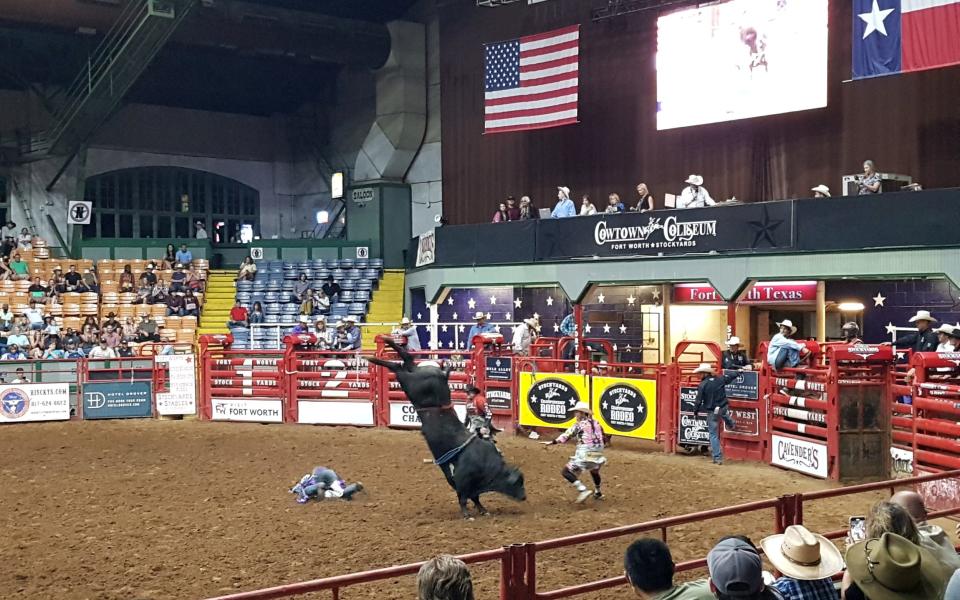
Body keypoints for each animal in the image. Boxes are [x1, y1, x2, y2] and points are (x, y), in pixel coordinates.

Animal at [372, 340, 528, 516]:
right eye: (517, 483)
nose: (524, 497)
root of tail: (439, 374)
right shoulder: (462, 480)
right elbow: (463, 497)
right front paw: (466, 514)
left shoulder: (471, 485)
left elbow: (475, 498)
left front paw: (482, 510)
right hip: (411, 382)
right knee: (400, 365)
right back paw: (381, 350)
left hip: (411, 379)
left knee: (404, 362)